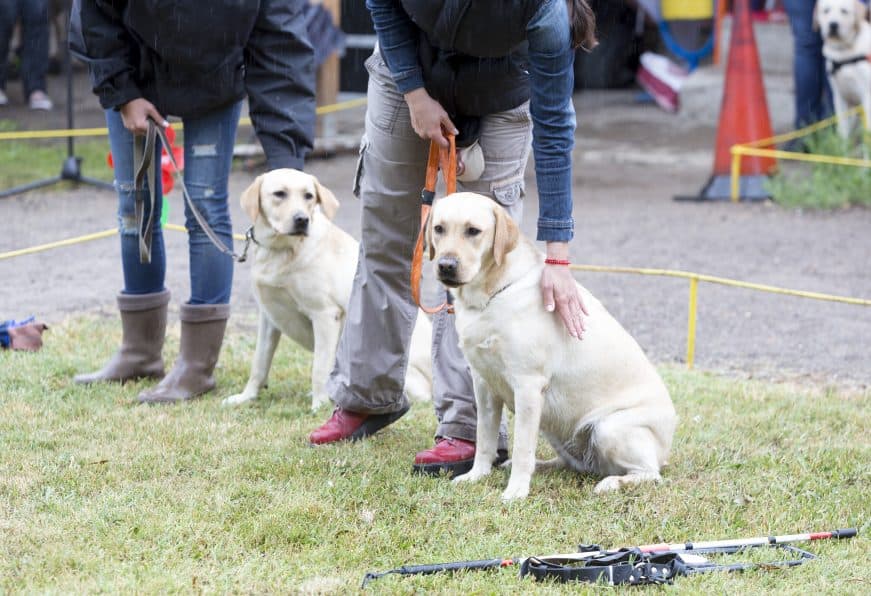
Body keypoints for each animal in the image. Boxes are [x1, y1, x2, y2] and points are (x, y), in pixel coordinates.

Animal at [221, 169, 432, 410]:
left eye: (309, 196)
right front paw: (246, 397)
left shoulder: (325, 315)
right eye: (279, 194)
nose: (302, 220)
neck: (281, 250)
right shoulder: (269, 317)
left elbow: (319, 368)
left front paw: (319, 405)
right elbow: (259, 363)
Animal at [426, 193, 676, 500]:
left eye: (473, 231)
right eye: (439, 229)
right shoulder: (483, 384)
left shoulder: (528, 385)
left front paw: (516, 492)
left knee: (650, 474)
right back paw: (543, 465)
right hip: (556, 428)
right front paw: (476, 476)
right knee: (575, 464)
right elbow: (484, 439)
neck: (492, 294)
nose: (446, 265)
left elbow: (522, 448)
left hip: (609, 428)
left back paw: (612, 483)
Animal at [816, 0, 871, 137]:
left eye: (844, 11)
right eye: (826, 11)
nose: (833, 25)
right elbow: (843, 131)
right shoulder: (840, 96)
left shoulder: (866, 94)